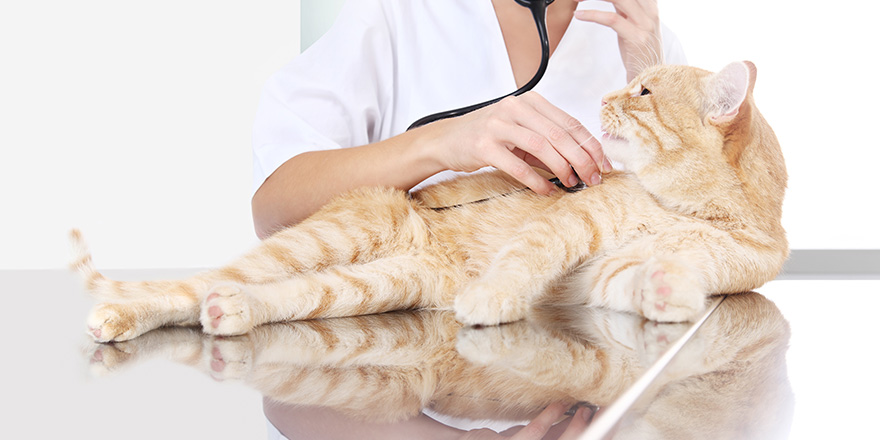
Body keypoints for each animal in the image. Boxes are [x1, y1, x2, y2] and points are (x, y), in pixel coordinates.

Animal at [69, 60, 788, 342]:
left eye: (643, 94)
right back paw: (122, 314)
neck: (683, 208)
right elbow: (526, 256)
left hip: (372, 286)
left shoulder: (629, 272)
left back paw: (233, 311)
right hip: (321, 241)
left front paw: (669, 288)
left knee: (271, 297)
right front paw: (493, 297)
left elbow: (661, 275)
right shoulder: (567, 221)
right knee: (186, 287)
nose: (607, 97)